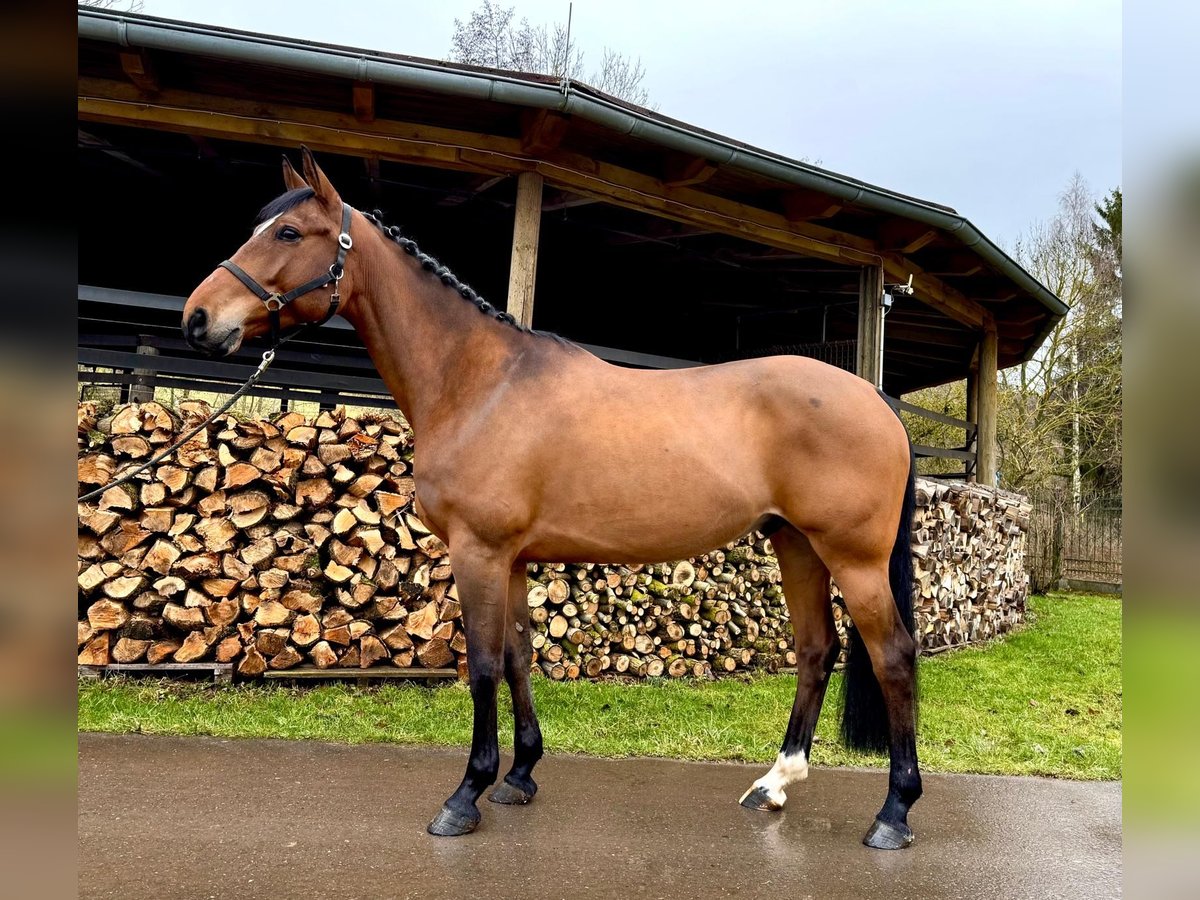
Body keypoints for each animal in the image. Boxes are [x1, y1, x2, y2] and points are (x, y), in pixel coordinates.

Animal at [182, 150, 921, 854]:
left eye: (287, 232)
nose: (197, 319)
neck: (480, 384)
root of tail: (875, 398)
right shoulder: (511, 560)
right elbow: (516, 657)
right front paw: (519, 775)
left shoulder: (478, 553)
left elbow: (482, 665)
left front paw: (466, 795)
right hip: (795, 545)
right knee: (817, 650)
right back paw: (775, 783)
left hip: (853, 559)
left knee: (893, 657)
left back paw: (893, 813)